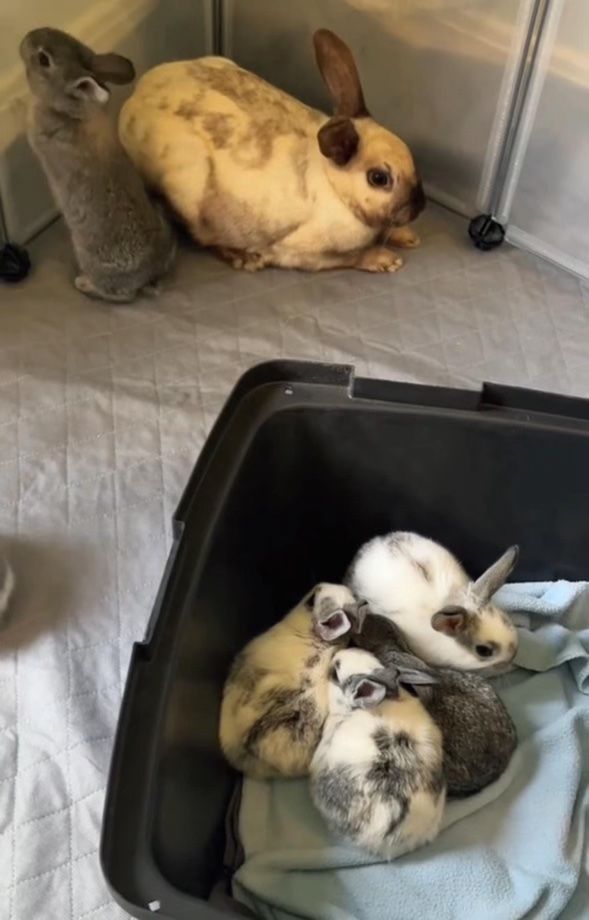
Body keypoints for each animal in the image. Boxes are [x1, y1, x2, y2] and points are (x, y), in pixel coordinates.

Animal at [20, 28, 176, 303]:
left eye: (43, 59)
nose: (25, 39)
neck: (72, 112)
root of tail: (147, 275)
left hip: (91, 259)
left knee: (120, 295)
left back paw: (83, 283)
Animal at [118, 29, 425, 274]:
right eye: (379, 178)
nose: (420, 206)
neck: (335, 186)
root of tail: (133, 100)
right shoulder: (304, 253)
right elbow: (352, 257)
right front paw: (386, 260)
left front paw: (408, 237)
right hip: (187, 194)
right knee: (201, 235)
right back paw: (246, 259)